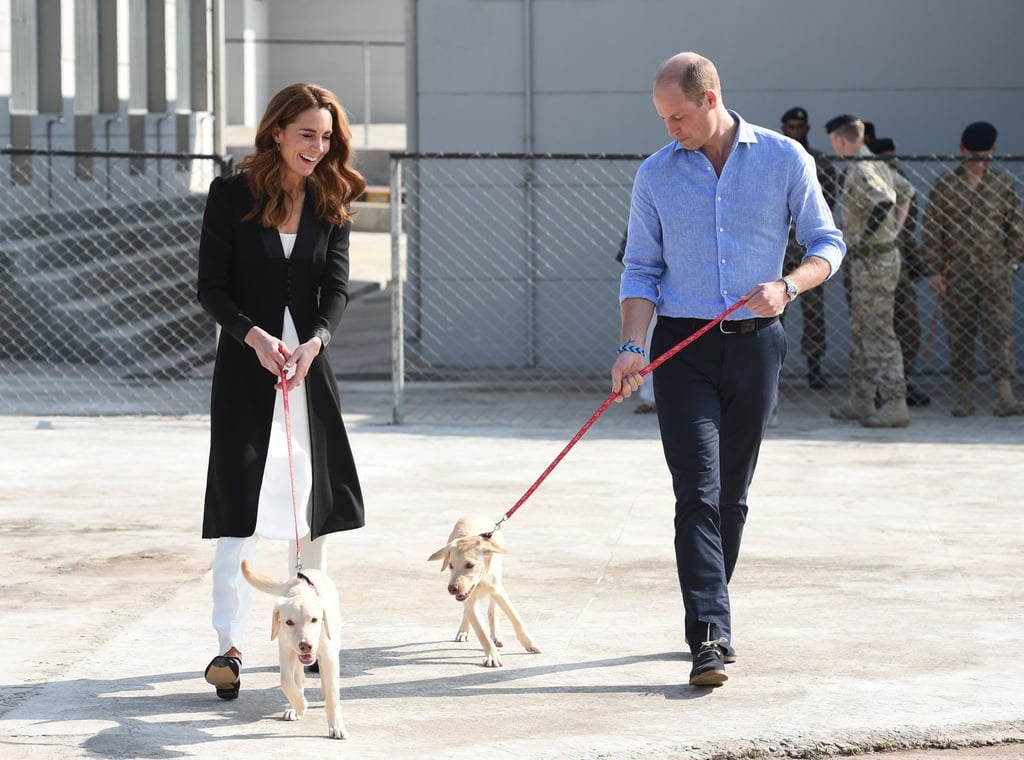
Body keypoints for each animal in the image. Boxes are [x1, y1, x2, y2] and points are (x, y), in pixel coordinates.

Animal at [239, 557, 348, 741]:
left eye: (314, 619)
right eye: (289, 622)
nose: (306, 645)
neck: (300, 592)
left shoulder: (329, 653)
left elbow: (333, 693)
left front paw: (336, 726)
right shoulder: (285, 648)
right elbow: (286, 682)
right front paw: (300, 705)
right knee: (299, 678)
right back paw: (293, 707)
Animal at [425, 514, 540, 667]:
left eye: (470, 565)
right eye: (450, 565)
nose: (452, 588)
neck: (480, 581)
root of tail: (474, 513)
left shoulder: (498, 591)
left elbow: (516, 619)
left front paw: (529, 644)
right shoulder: (469, 601)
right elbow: (482, 632)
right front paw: (492, 656)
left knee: (492, 611)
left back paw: (496, 635)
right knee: (468, 612)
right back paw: (464, 630)